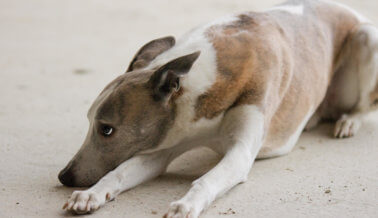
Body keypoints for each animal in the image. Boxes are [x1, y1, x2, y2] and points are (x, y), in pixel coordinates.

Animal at [59, 0, 378, 217]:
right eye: (91, 123)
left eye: (107, 130)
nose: (64, 177)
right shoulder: (163, 145)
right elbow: (119, 173)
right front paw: (91, 195)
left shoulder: (240, 153)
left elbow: (206, 179)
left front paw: (186, 204)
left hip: (367, 38)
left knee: (364, 105)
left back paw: (349, 121)